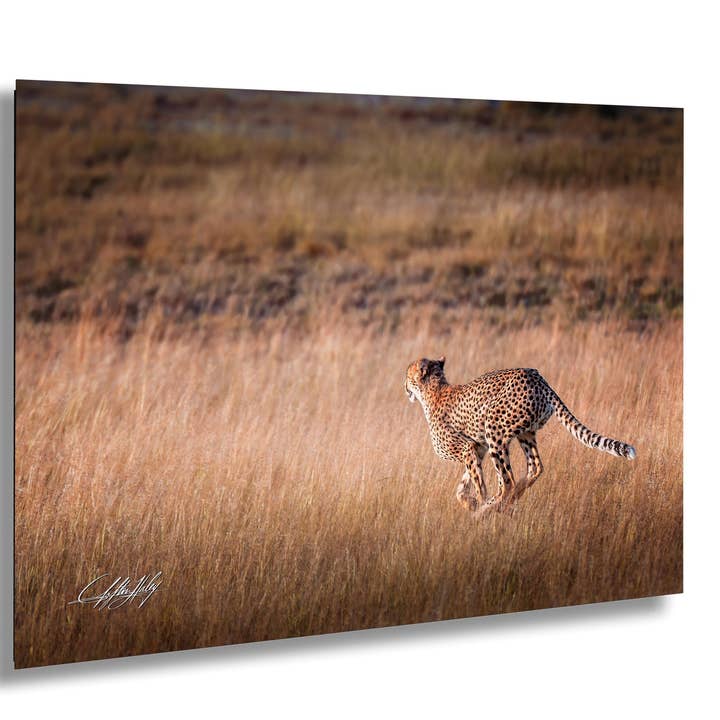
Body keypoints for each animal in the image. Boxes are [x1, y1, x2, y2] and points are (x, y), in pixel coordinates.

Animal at [405, 356, 636, 514]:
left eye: (407, 376)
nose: (404, 386)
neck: (433, 391)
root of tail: (537, 377)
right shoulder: (477, 448)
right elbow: (463, 485)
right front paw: (469, 503)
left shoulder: (468, 448)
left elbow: (478, 483)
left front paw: (479, 505)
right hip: (525, 433)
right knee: (535, 467)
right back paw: (511, 499)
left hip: (494, 429)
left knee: (507, 482)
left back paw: (490, 508)